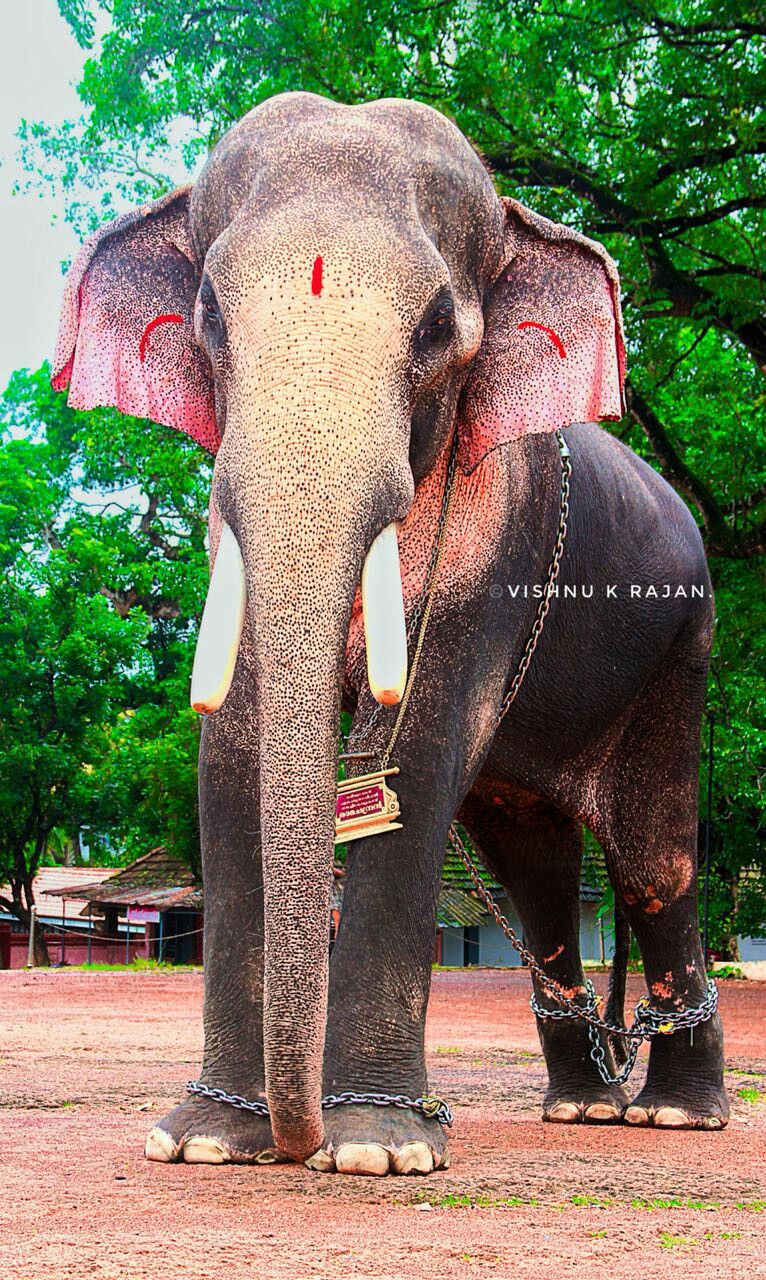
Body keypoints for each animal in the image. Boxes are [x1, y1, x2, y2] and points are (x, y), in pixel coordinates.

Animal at [52, 91, 727, 1177]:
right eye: (210, 316)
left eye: (438, 323)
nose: (296, 1142)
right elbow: (231, 758)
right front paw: (204, 1140)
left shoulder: (499, 548)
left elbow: (414, 762)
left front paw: (374, 1147)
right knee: (536, 869)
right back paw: (584, 1105)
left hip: (681, 649)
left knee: (652, 861)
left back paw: (674, 1115)